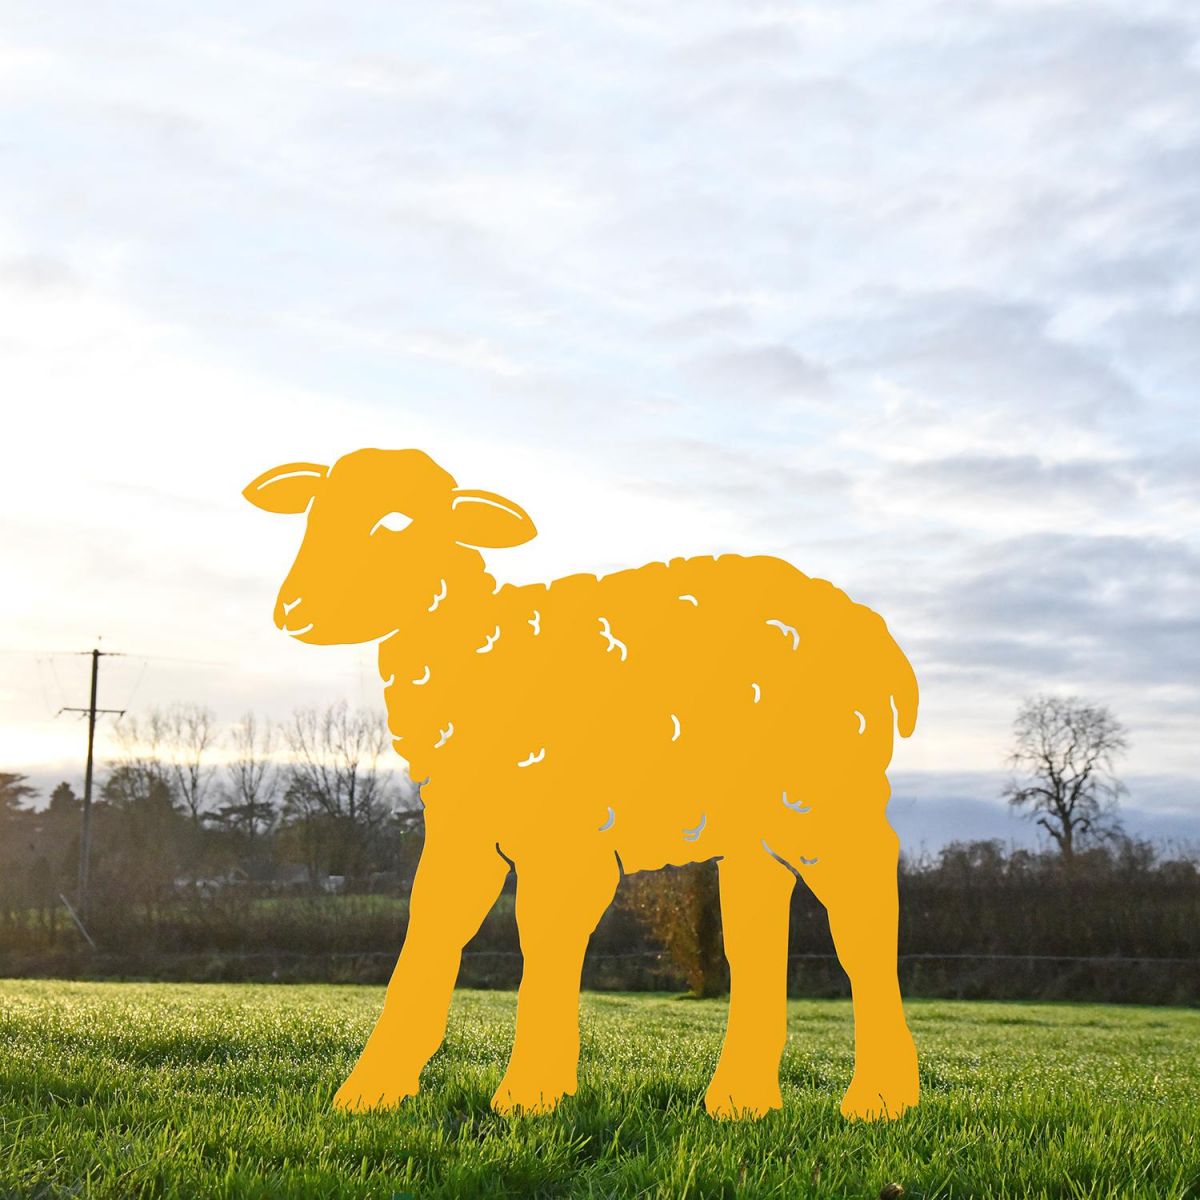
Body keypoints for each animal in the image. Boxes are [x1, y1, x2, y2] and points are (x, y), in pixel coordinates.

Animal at [243, 447, 921, 1122]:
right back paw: (740, 1102)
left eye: (397, 523)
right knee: (757, 934)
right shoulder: (466, 825)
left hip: (826, 794)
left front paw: (530, 1094)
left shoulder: (565, 829)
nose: (292, 610)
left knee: (863, 918)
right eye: (312, 515)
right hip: (757, 823)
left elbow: (543, 937)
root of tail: (877, 632)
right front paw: (372, 1092)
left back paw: (880, 1098)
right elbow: (431, 930)